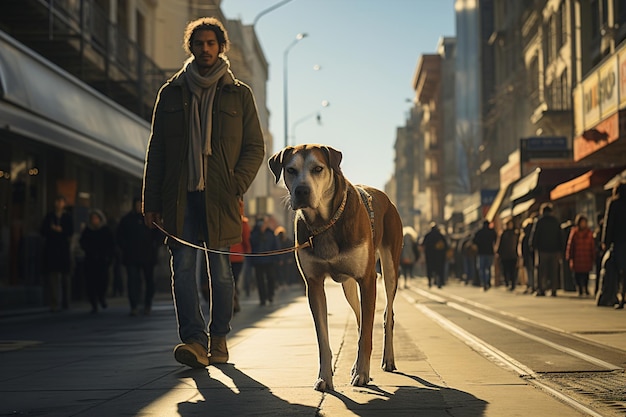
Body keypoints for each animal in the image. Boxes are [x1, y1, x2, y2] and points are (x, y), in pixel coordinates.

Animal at [266, 143, 402, 390]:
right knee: (359, 316)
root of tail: (387, 199)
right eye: (290, 170)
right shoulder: (313, 284)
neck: (325, 223)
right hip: (348, 286)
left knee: (387, 313)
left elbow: (367, 334)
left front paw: (362, 374)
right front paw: (324, 377)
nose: (301, 191)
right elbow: (323, 337)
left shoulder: (367, 279)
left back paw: (387, 359)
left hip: (389, 267)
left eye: (318, 168)